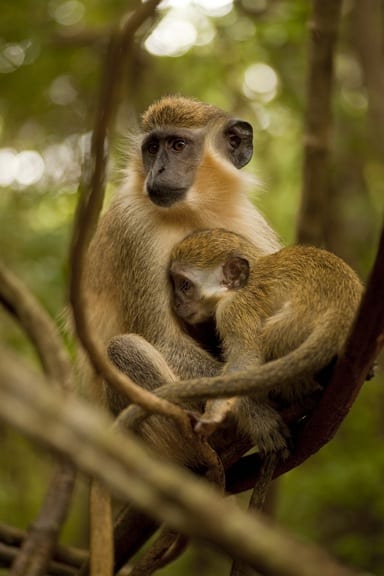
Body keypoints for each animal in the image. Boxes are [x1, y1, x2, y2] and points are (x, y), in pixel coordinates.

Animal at [169, 227, 364, 456]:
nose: (176, 304)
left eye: (185, 285)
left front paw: (213, 414)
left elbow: (245, 358)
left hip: (292, 327)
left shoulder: (233, 310)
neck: (243, 284)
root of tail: (342, 309)